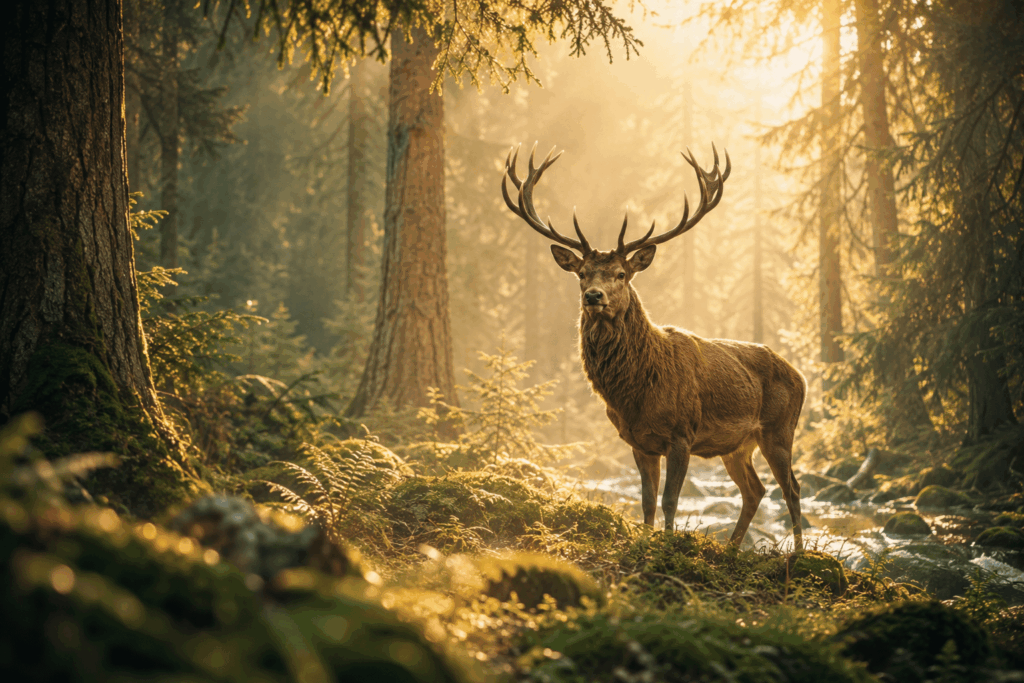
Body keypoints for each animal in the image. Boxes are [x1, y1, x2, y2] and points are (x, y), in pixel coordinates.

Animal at [501, 143, 806, 551]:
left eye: (621, 274)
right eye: (582, 274)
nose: (593, 296)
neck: (635, 392)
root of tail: (800, 375)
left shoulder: (682, 432)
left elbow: (670, 499)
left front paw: (669, 543)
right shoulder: (638, 441)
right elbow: (645, 500)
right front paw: (644, 541)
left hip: (779, 428)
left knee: (792, 489)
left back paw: (800, 553)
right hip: (738, 444)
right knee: (755, 490)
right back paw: (732, 548)